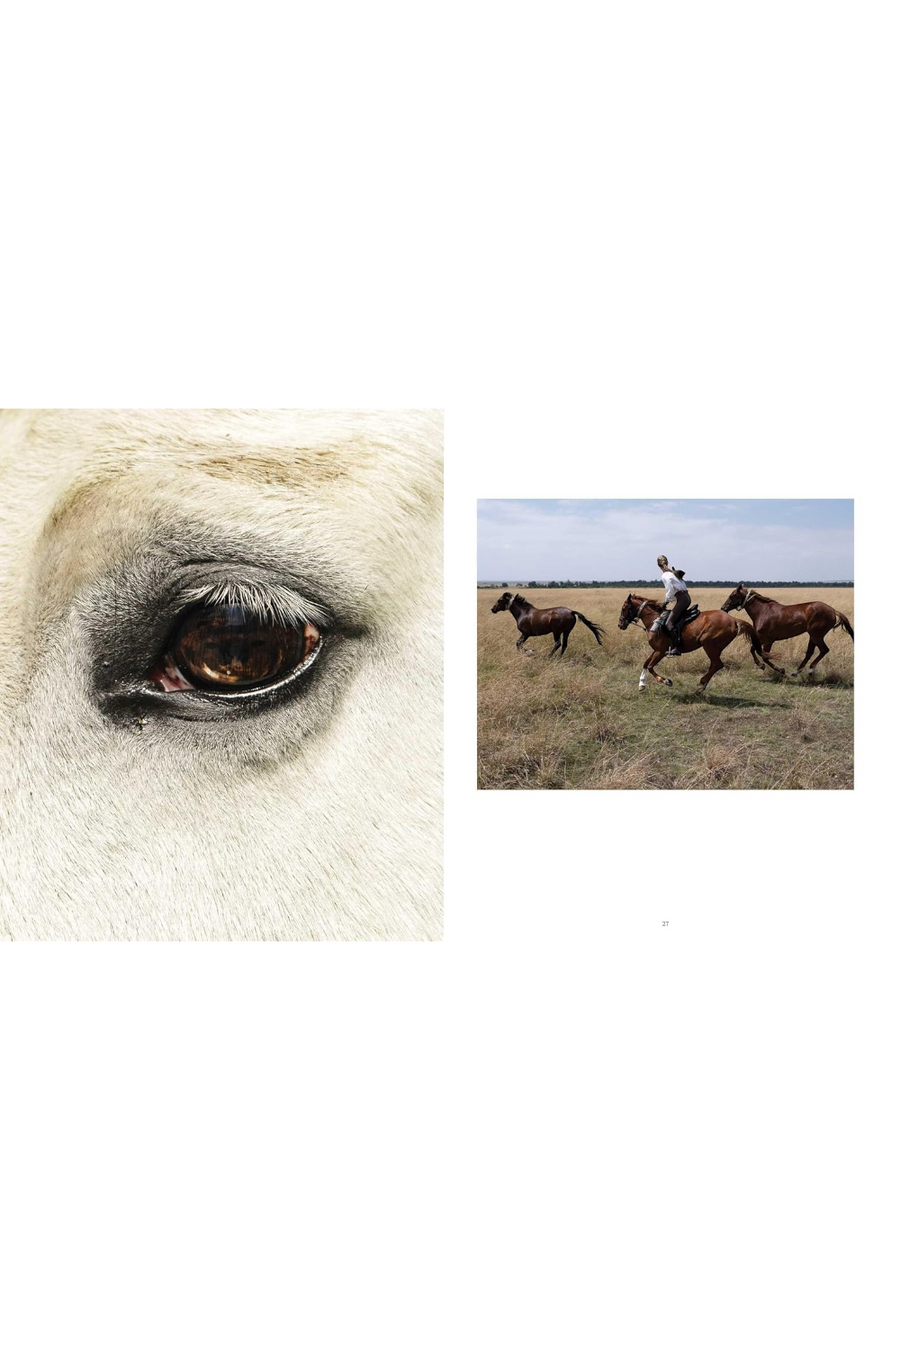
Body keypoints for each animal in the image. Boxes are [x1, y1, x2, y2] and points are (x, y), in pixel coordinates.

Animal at [618, 593, 765, 692]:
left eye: (624, 607)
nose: (620, 625)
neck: (654, 620)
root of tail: (733, 619)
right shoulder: (656, 650)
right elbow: (645, 663)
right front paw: (641, 684)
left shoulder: (660, 651)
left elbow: (650, 666)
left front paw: (666, 681)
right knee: (715, 665)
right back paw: (702, 685)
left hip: (709, 644)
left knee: (717, 664)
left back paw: (701, 686)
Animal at [720, 584, 854, 677]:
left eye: (732, 595)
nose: (723, 608)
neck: (762, 611)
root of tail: (832, 610)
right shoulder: (762, 639)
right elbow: (753, 650)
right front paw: (761, 666)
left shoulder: (768, 640)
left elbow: (764, 656)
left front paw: (780, 670)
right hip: (813, 635)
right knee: (810, 652)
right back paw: (796, 672)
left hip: (816, 635)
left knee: (824, 650)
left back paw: (810, 670)